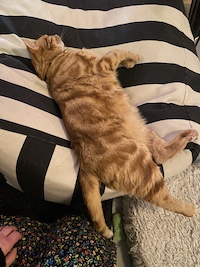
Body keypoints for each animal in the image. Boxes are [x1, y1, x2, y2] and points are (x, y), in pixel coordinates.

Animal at [24, 35, 198, 239]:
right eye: (49, 38)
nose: (57, 36)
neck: (55, 62)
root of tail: (84, 163)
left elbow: (120, 55)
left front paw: (130, 62)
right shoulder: (103, 63)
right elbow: (119, 52)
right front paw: (134, 57)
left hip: (142, 130)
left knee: (161, 153)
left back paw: (189, 135)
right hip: (143, 168)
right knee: (161, 195)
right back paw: (190, 209)